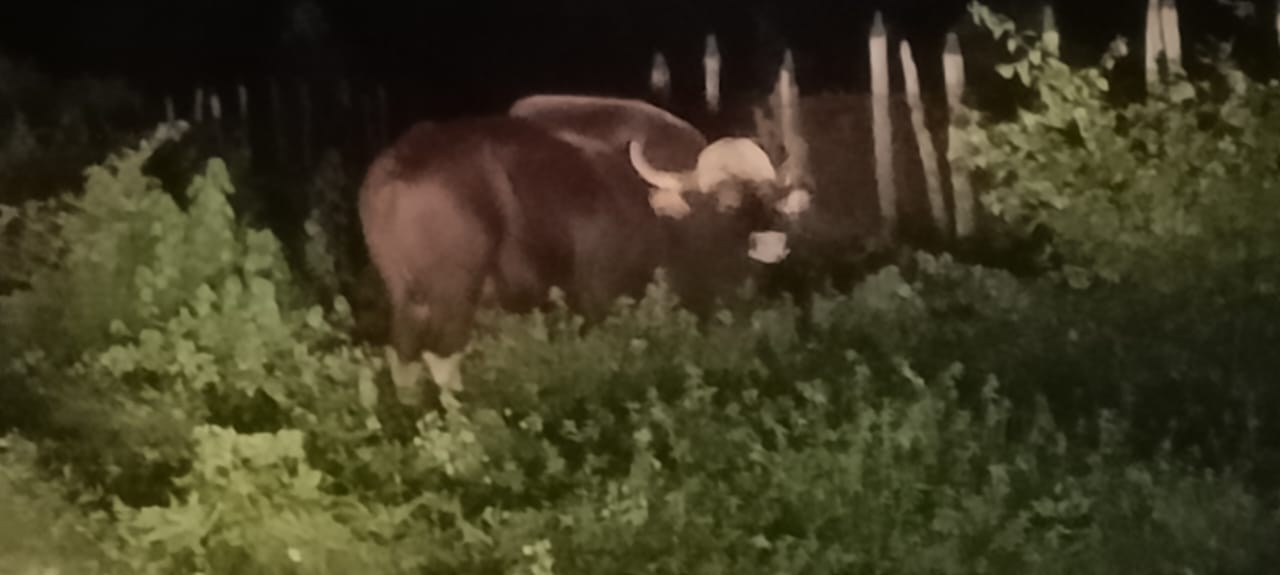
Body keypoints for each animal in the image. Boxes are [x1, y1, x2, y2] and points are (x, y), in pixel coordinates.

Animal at [359, 95, 809, 405]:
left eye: (772, 198)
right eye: (725, 199)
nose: (770, 244)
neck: (667, 222)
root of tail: (396, 170)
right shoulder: (602, 299)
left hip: (405, 297)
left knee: (404, 357)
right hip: (454, 294)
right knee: (442, 357)